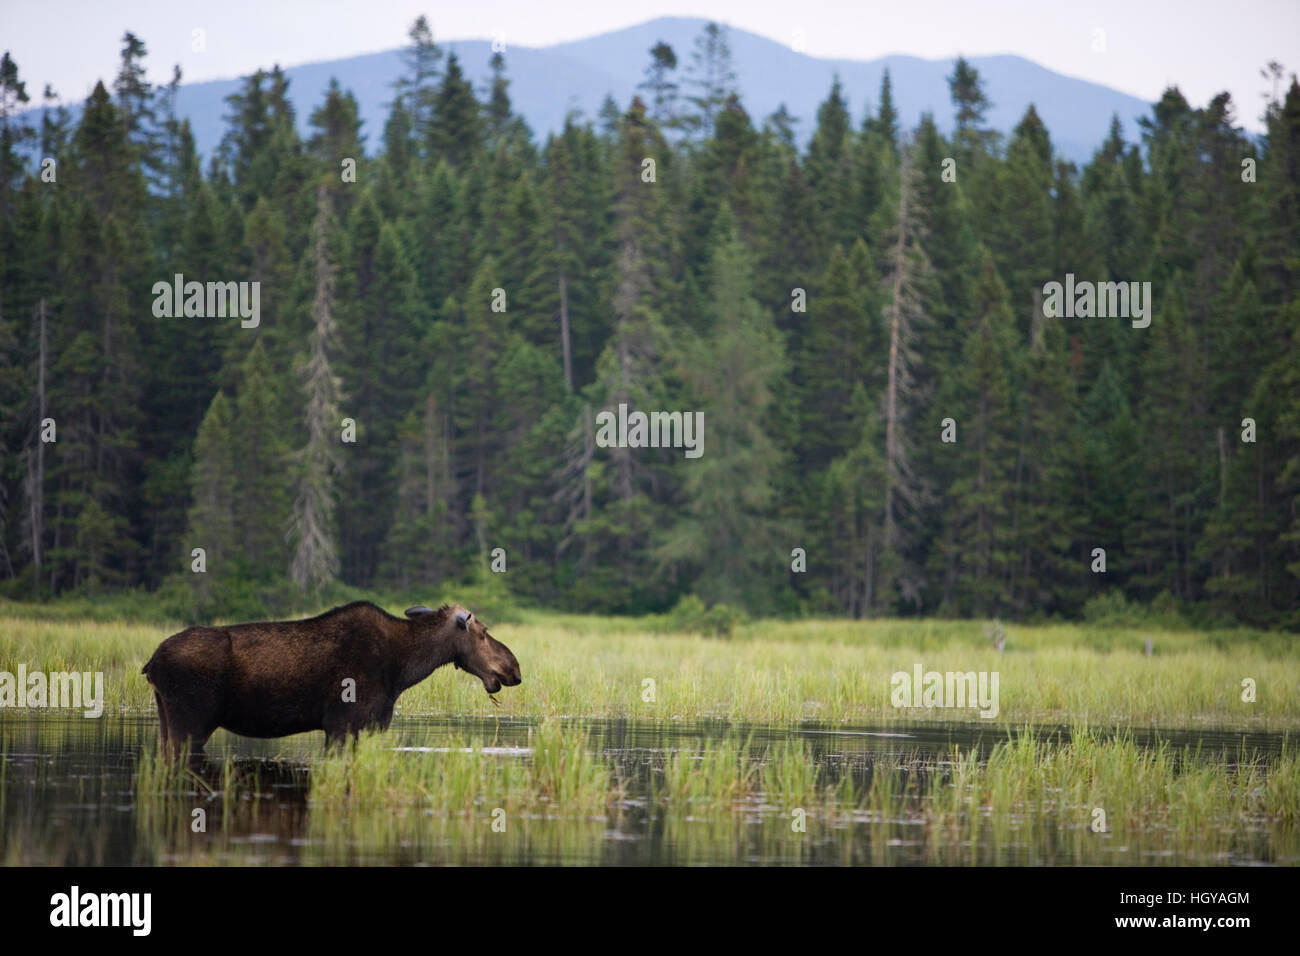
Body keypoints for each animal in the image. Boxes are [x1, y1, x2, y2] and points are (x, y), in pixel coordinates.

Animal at [143, 606, 522, 754]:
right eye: (484, 632)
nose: (513, 669)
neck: (402, 670)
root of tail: (151, 664)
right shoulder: (343, 723)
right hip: (191, 720)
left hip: (166, 718)